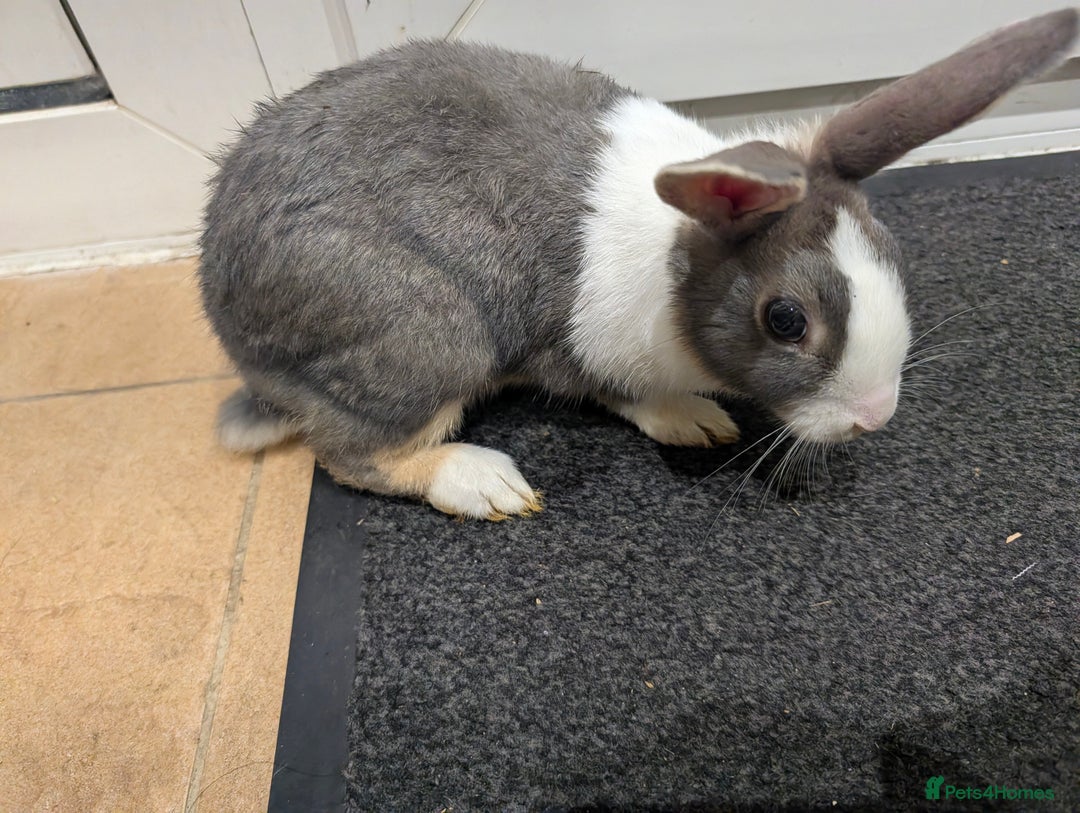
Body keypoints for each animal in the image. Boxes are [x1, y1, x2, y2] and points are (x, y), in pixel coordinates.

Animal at [198, 9, 1077, 519]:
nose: (874, 415)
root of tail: (230, 321)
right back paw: (485, 483)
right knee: (354, 455)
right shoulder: (575, 343)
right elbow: (618, 390)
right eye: (785, 320)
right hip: (423, 338)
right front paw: (694, 417)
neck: (675, 265)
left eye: (892, 253)